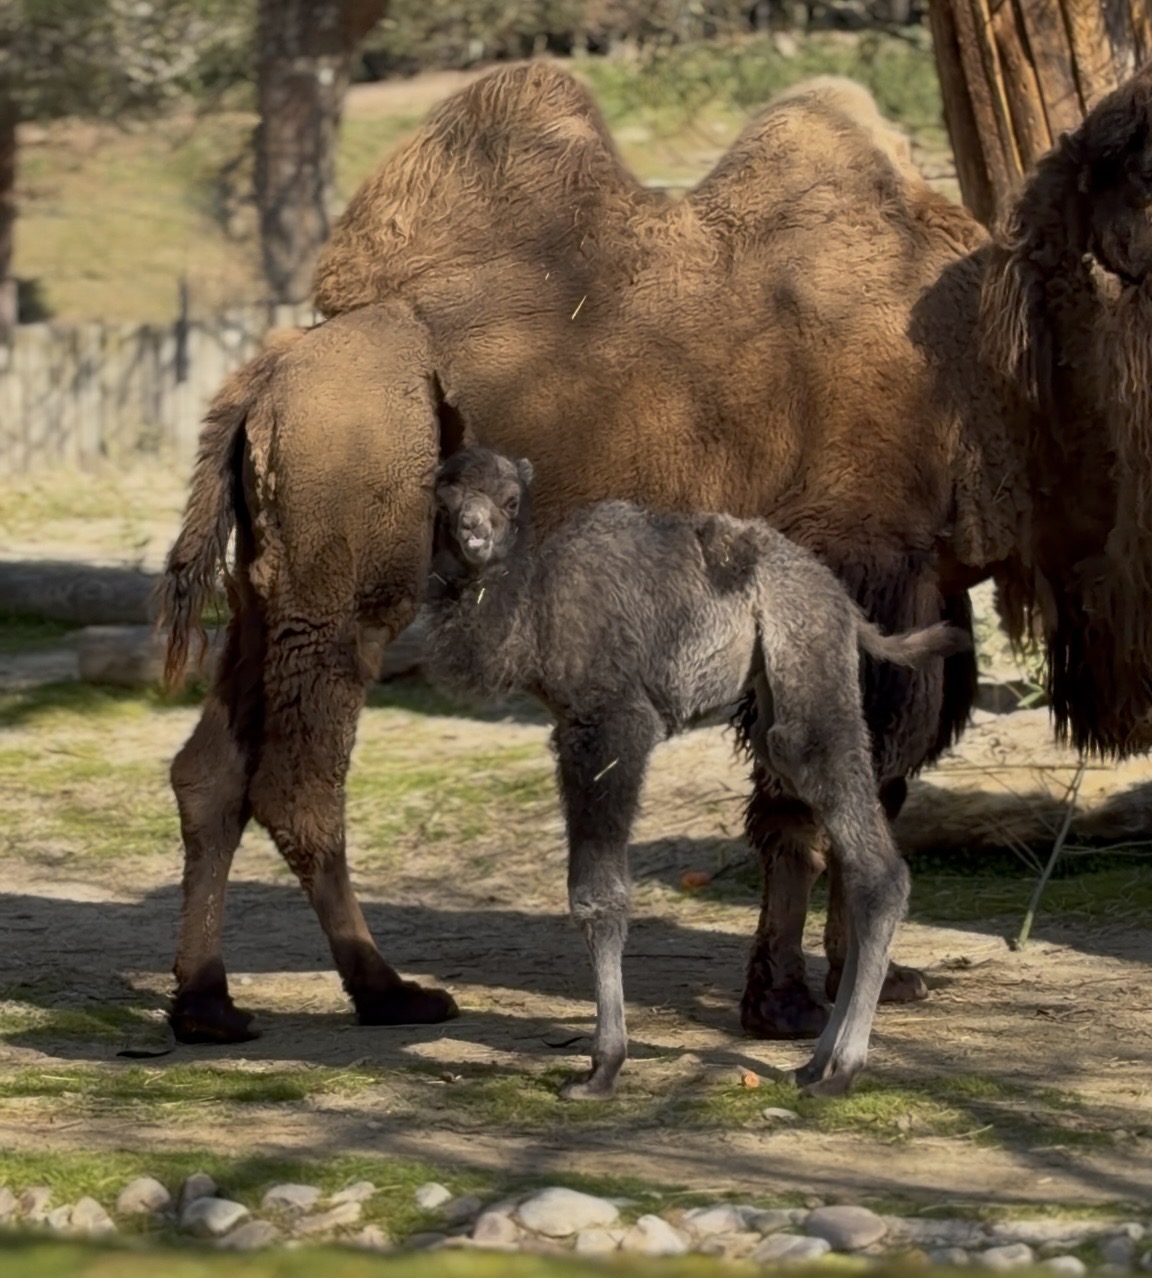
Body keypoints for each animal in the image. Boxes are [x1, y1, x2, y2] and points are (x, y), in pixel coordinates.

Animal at [162, 62, 1152, 1046]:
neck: (980, 361)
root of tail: (265, 375)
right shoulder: (855, 567)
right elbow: (812, 796)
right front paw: (786, 1004)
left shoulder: (920, 597)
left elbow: (880, 788)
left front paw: (872, 980)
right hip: (341, 591)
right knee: (298, 784)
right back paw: (388, 991)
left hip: (265, 594)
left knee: (211, 775)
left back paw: (209, 1003)